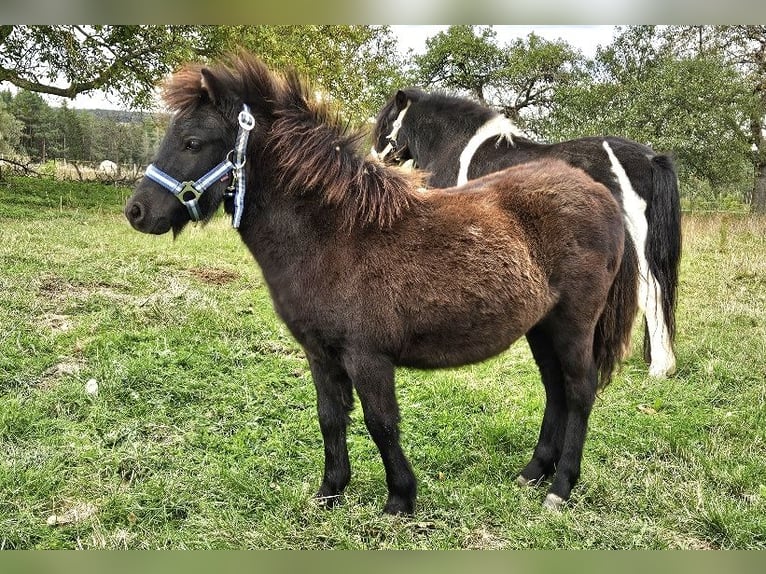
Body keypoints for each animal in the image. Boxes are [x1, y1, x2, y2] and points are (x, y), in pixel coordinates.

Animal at [374, 89, 684, 378]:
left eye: (386, 122)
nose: (375, 162)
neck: (454, 148)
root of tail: (648, 159)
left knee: (650, 292)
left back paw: (659, 367)